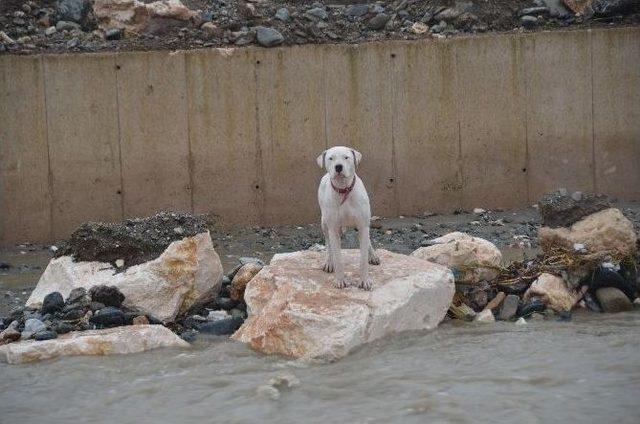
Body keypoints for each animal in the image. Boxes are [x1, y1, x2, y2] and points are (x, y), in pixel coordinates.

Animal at [316, 147, 380, 292]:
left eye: (346, 157)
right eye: (331, 158)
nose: (338, 167)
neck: (344, 189)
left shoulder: (363, 225)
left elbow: (363, 258)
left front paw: (364, 281)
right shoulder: (333, 229)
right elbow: (338, 258)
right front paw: (340, 280)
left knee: (368, 240)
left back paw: (373, 256)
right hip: (324, 223)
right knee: (328, 244)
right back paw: (329, 262)